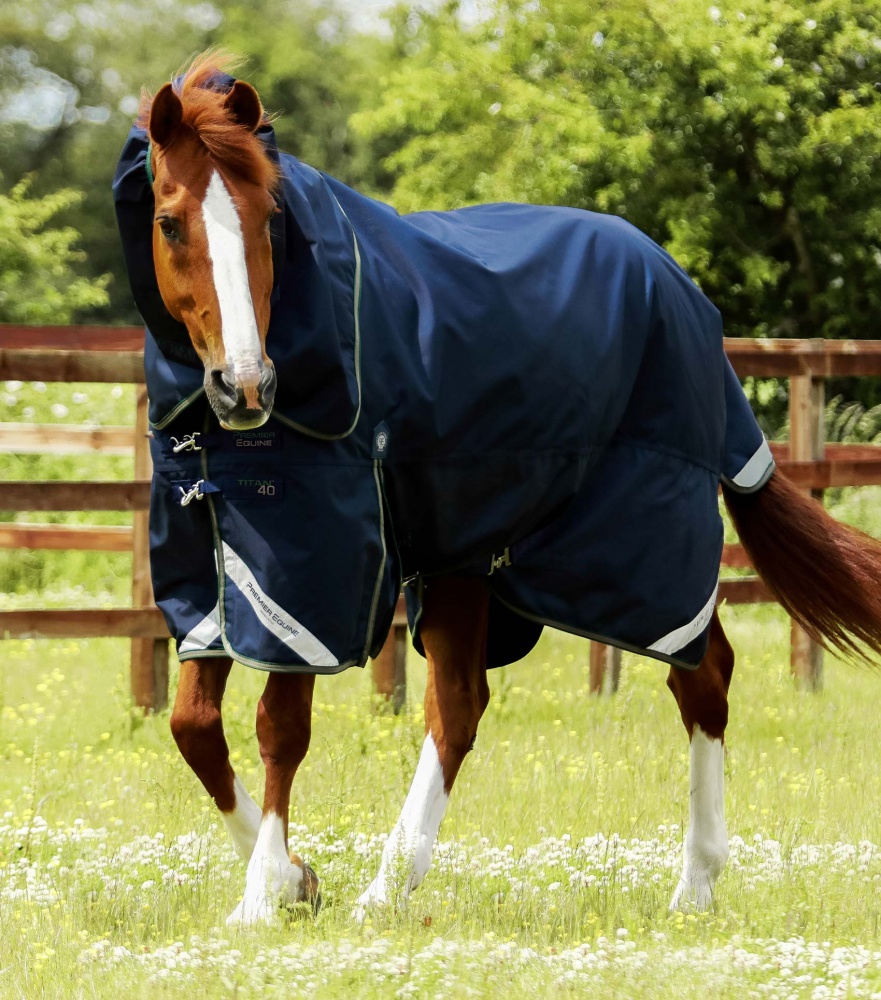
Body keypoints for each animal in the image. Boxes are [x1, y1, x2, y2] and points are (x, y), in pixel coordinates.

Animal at [113, 54, 881, 926]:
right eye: (170, 222)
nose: (246, 386)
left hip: (640, 542)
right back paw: (391, 887)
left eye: (264, 216)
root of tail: (682, 293)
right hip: (469, 554)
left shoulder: (314, 572)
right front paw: (295, 878)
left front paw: (262, 892)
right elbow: (192, 725)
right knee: (460, 703)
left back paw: (690, 886)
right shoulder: (215, 565)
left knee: (701, 672)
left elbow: (280, 724)